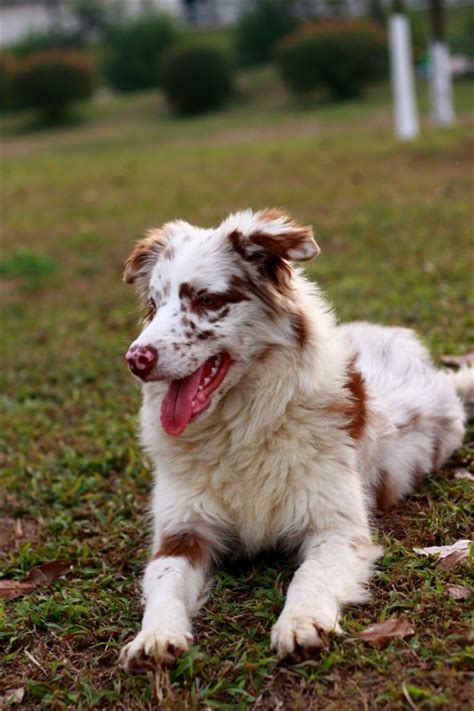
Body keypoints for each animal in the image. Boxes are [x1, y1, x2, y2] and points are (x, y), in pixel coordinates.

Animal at [117, 207, 470, 672]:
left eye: (207, 300)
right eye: (154, 306)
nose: (136, 359)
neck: (242, 429)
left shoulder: (336, 528)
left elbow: (309, 574)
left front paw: (301, 622)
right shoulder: (181, 532)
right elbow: (164, 581)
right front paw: (155, 636)